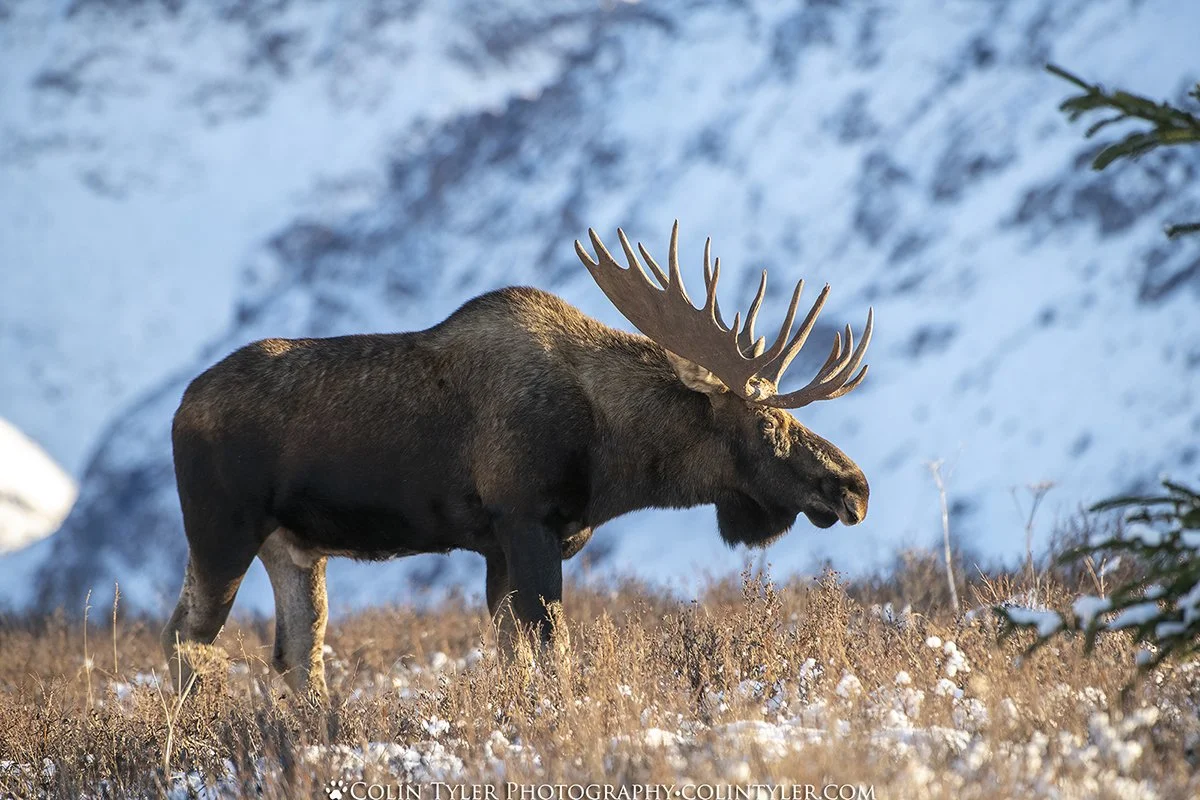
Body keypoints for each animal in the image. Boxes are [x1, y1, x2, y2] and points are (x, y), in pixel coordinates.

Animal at [162, 222, 873, 699]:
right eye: (768, 422)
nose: (854, 486)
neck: (615, 457)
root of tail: (178, 408)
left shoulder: (499, 546)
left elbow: (513, 658)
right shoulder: (526, 522)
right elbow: (550, 652)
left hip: (295, 550)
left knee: (294, 656)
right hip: (221, 530)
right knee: (186, 637)